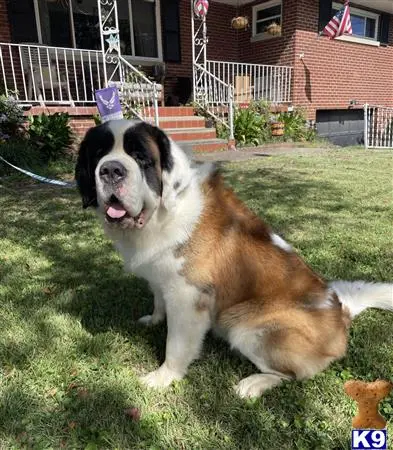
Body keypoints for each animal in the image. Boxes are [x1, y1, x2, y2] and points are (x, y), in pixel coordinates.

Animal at [76, 118, 392, 398]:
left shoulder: (188, 296)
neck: (162, 213)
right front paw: (154, 320)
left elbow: (175, 345)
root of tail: (341, 314)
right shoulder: (160, 278)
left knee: (292, 373)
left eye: (141, 157)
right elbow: (158, 300)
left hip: (242, 323)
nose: (111, 170)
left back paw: (255, 383)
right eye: (99, 154)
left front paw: (163, 377)